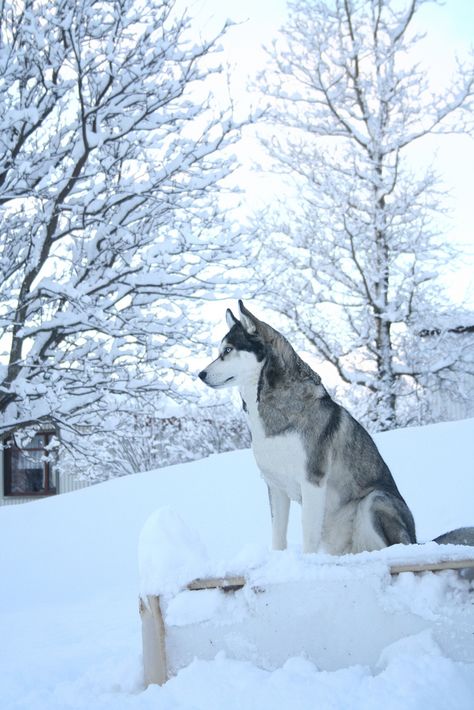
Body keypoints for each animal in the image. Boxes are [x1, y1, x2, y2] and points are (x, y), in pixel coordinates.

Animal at [198, 302, 416, 556]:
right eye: (220, 351)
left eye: (228, 350)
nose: (200, 374)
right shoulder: (275, 486)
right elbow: (278, 535)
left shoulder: (312, 481)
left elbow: (308, 535)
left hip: (375, 500)